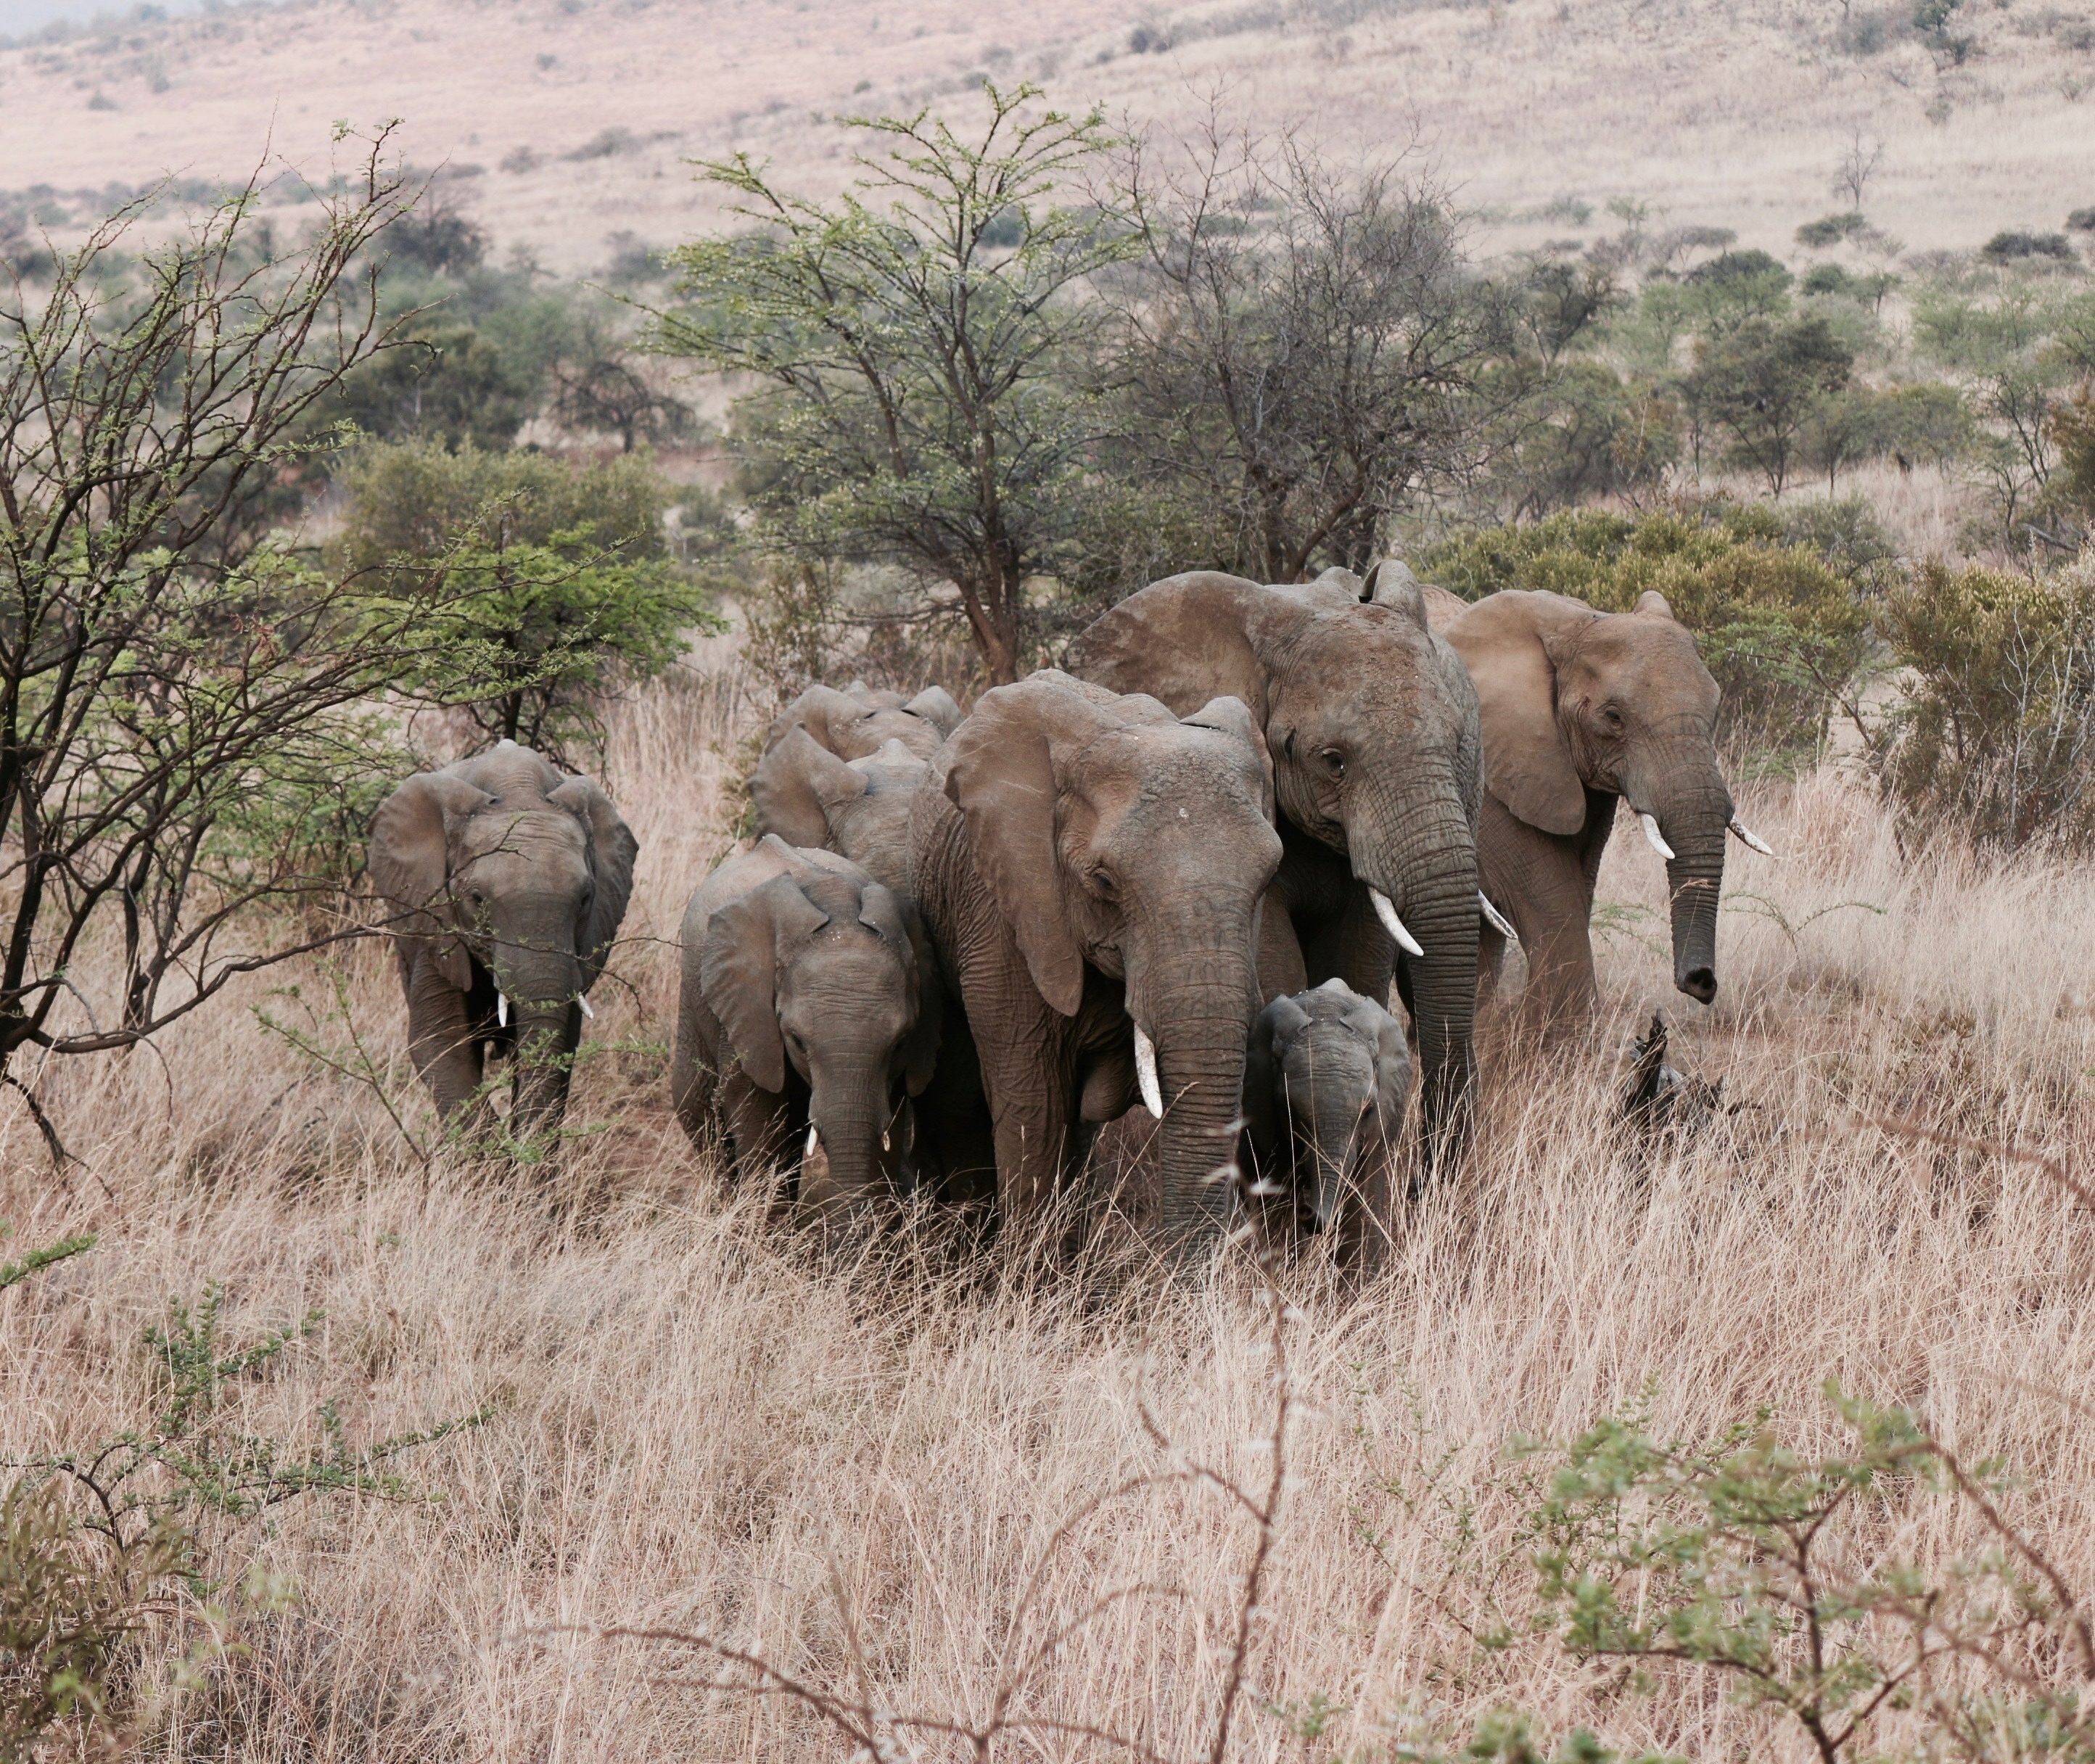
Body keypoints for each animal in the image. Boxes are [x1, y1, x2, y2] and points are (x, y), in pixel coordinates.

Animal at [368, 741, 637, 1145]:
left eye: (586, 899)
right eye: (478, 899)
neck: (517, 789)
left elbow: (561, 1043)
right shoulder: (436, 921)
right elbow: (440, 1042)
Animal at [672, 835, 942, 1217]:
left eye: (901, 1043)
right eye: (796, 1040)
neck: (837, 906)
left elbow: (890, 1122)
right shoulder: (747, 1012)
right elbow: (756, 1113)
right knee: (698, 1111)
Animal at [1418, 587, 1777, 1029]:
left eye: (1715, 710)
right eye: (1614, 717)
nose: (1701, 981)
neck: (1574, 622)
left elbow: (1577, 888)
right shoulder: (1490, 774)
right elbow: (1552, 896)